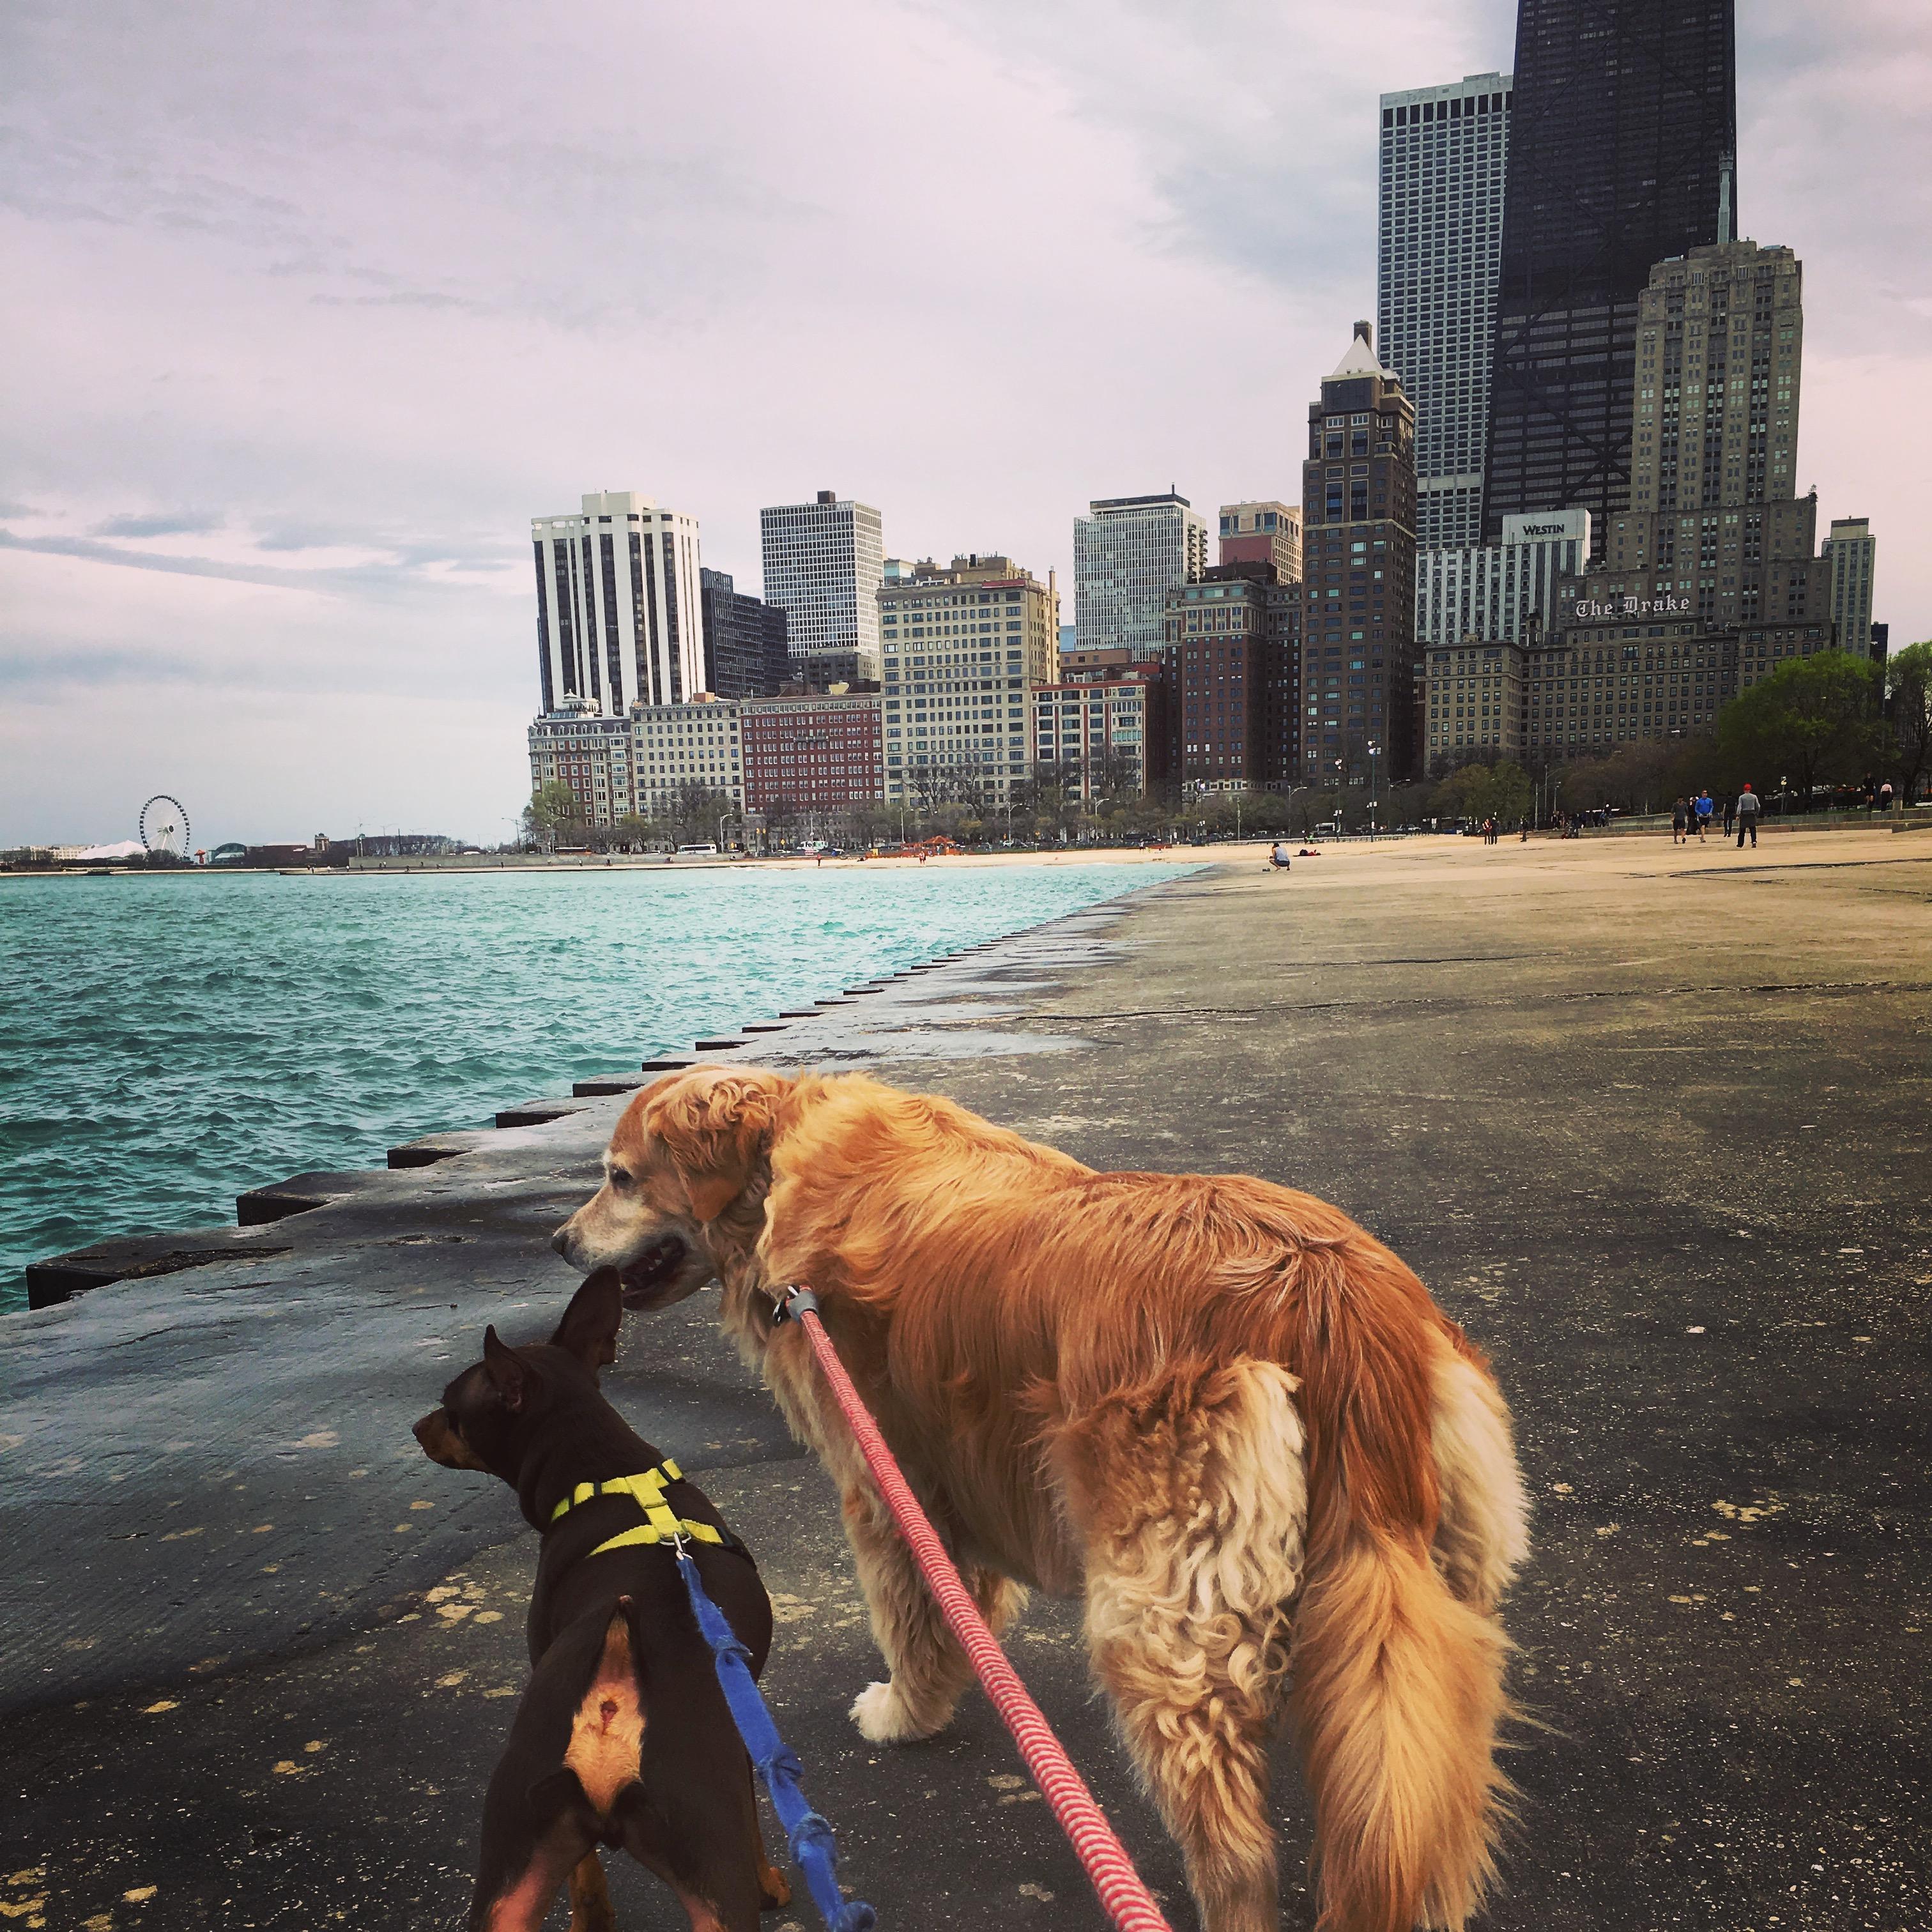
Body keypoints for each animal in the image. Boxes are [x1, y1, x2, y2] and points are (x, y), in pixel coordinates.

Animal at [415, 1267, 792, 1932]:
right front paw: (771, 1881)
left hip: (514, 1859)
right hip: (706, 1871)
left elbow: (585, 1874)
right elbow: (754, 1819)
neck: (605, 1470)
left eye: (452, 1409)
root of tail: (613, 1688)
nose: (416, 1427)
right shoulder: (742, 1745)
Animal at [552, 1074, 1530, 1932]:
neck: (773, 1165)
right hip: (1438, 1601)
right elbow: (960, 1603)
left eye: (620, 1176)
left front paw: (903, 1714)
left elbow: (908, 1620)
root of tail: (1333, 1298)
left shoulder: (879, 1479)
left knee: (1237, 1854)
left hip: (1164, 1622)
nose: (560, 1243)